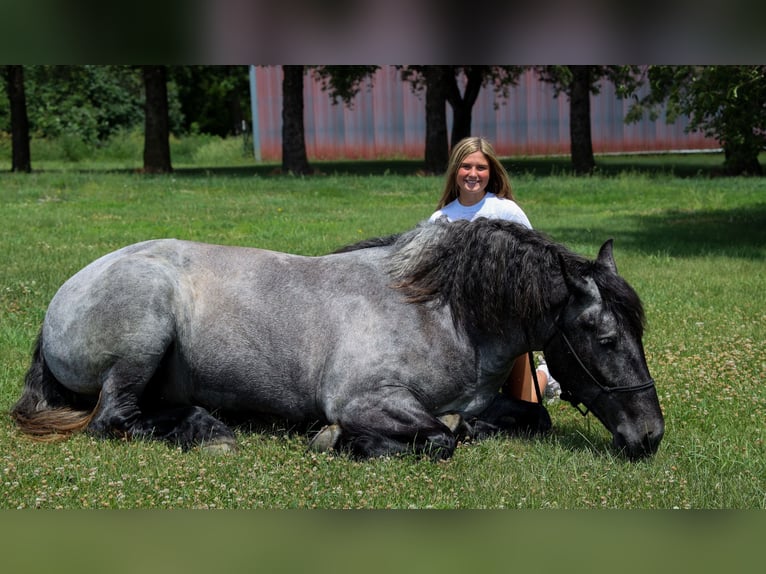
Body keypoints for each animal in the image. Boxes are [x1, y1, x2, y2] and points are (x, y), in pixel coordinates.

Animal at [9, 218, 664, 462]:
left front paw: (474, 425)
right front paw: (343, 440)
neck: (443, 314)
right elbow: (438, 439)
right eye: (604, 335)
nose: (650, 435)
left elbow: (525, 419)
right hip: (142, 339)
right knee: (114, 420)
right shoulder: (364, 399)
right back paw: (206, 431)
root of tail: (62, 297)